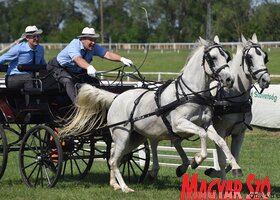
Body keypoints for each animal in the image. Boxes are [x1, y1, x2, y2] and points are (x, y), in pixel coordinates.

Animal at [62, 36, 242, 192]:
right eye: (212, 58)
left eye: (226, 56)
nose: (229, 80)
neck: (190, 93)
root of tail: (116, 98)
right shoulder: (179, 124)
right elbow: (202, 135)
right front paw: (196, 160)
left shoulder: (206, 124)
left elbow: (220, 141)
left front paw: (235, 167)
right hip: (122, 136)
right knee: (113, 160)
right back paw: (125, 188)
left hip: (134, 138)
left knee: (114, 157)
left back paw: (114, 184)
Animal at [203, 33, 272, 180]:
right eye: (249, 57)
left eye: (265, 57)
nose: (266, 80)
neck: (234, 96)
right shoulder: (220, 131)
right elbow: (222, 159)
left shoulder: (239, 133)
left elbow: (234, 157)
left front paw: (216, 172)